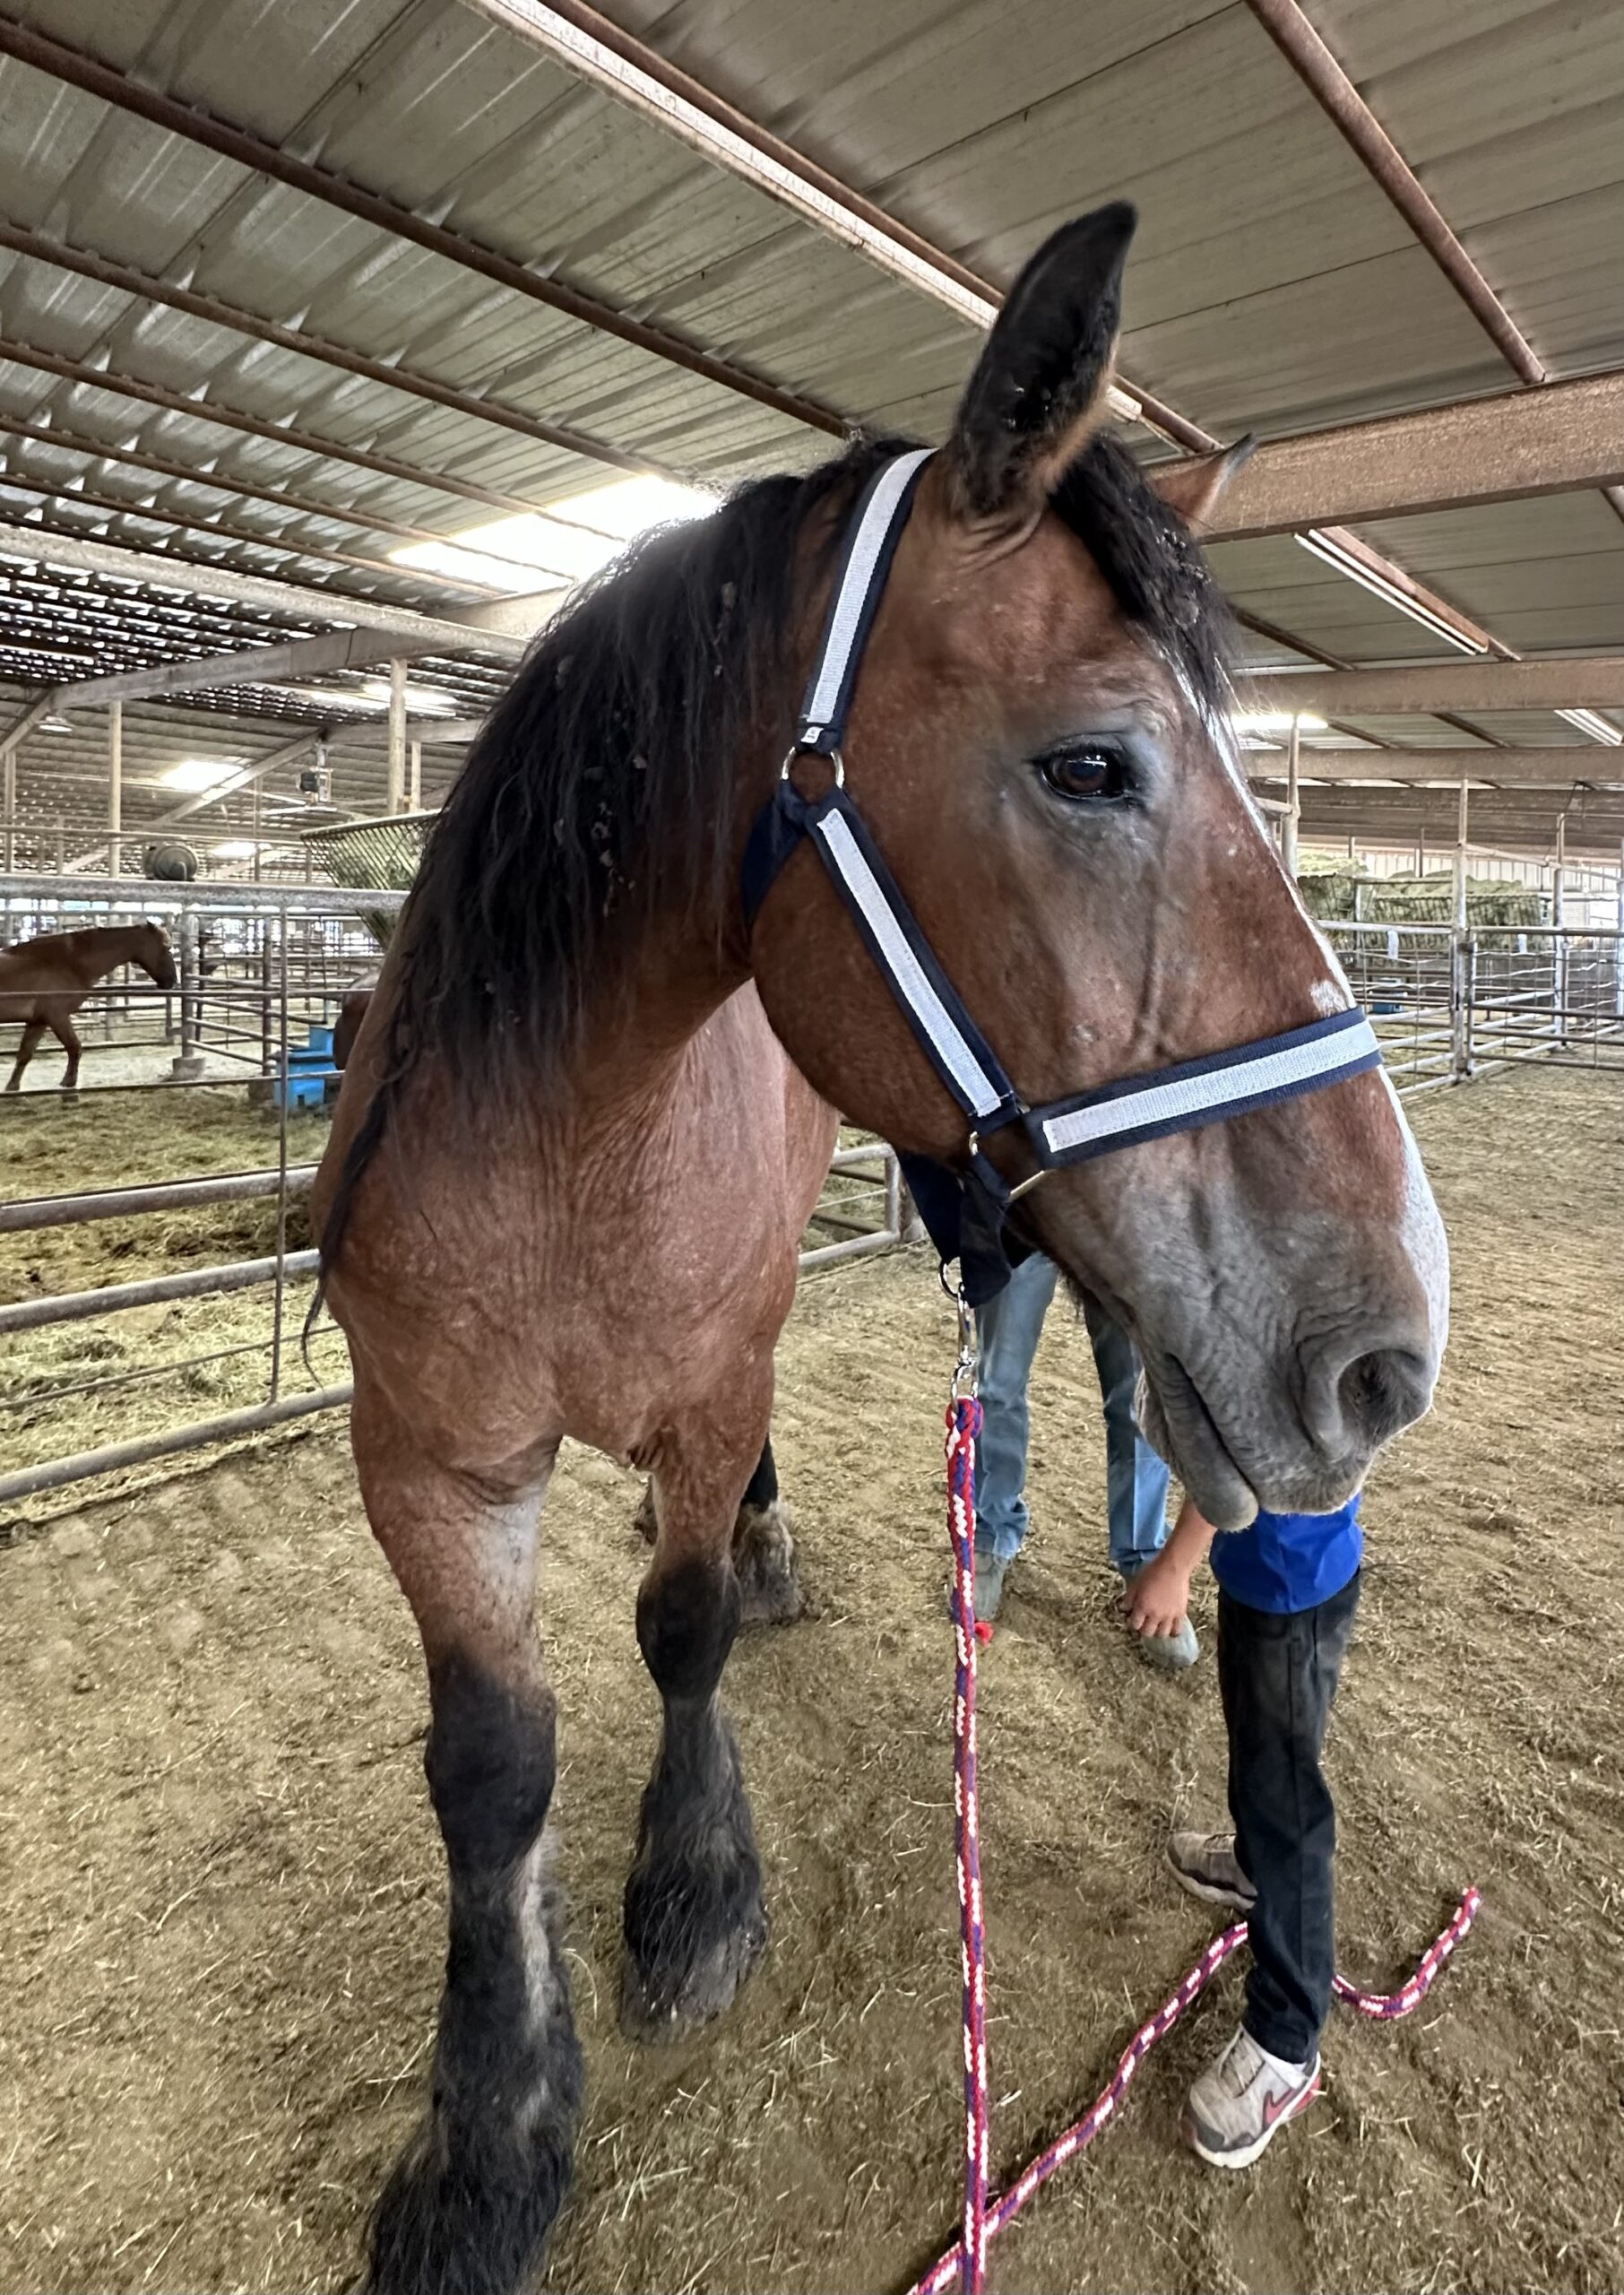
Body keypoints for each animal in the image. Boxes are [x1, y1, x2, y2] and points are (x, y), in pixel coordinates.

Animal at [0, 921, 178, 1092]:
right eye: (166, 947)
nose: (173, 981)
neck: (69, 962)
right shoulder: (57, 1016)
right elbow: (74, 1047)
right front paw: (69, 1081)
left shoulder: (39, 1021)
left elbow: (25, 1053)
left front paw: (12, 1087)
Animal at [313, 204, 1448, 2295]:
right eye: (1090, 767)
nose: (1388, 1348)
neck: (565, 1141)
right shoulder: (424, 1457)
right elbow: (489, 1766)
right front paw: (486, 2136)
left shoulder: (709, 1384)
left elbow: (676, 1631)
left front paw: (691, 1899)